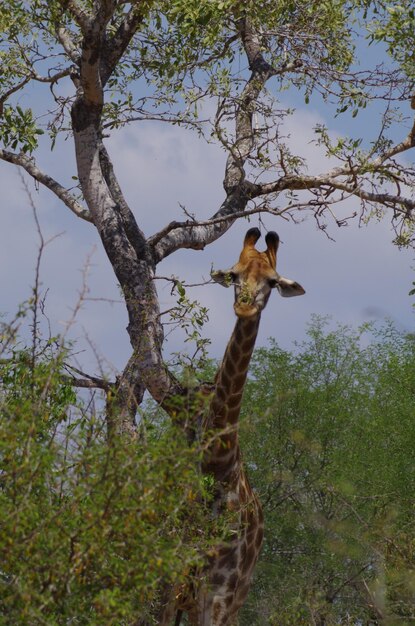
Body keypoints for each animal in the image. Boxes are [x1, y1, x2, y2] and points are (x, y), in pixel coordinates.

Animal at [161, 228, 304, 624]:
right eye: (235, 275)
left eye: (272, 281)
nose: (244, 305)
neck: (217, 464)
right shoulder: (171, 577)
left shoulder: (219, 592)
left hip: (234, 598)